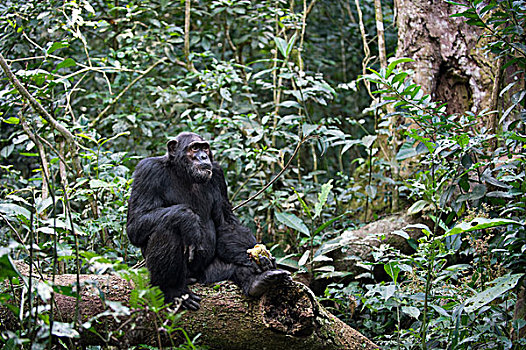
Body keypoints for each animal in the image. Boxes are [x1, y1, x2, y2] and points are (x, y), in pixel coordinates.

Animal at [128, 133, 292, 310]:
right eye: (194, 148)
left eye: (204, 147)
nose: (203, 156)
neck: (183, 173)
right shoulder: (147, 171)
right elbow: (136, 223)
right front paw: (188, 219)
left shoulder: (218, 174)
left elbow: (226, 223)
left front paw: (257, 259)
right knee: (167, 229)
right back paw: (174, 291)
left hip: (210, 273)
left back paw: (259, 279)